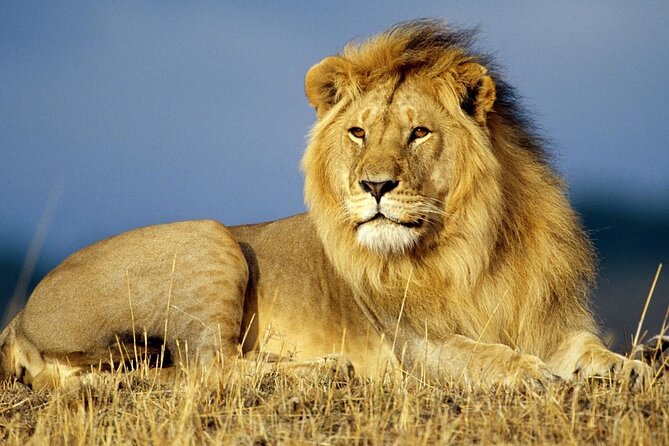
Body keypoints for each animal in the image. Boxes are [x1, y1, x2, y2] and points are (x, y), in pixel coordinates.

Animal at [0, 20, 657, 390]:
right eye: (358, 133)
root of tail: (20, 318)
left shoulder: (549, 320)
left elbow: (589, 349)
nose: (375, 186)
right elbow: (481, 355)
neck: (472, 245)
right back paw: (326, 370)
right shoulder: (414, 345)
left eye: (419, 133)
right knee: (205, 369)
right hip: (209, 238)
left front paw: (629, 368)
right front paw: (528, 373)